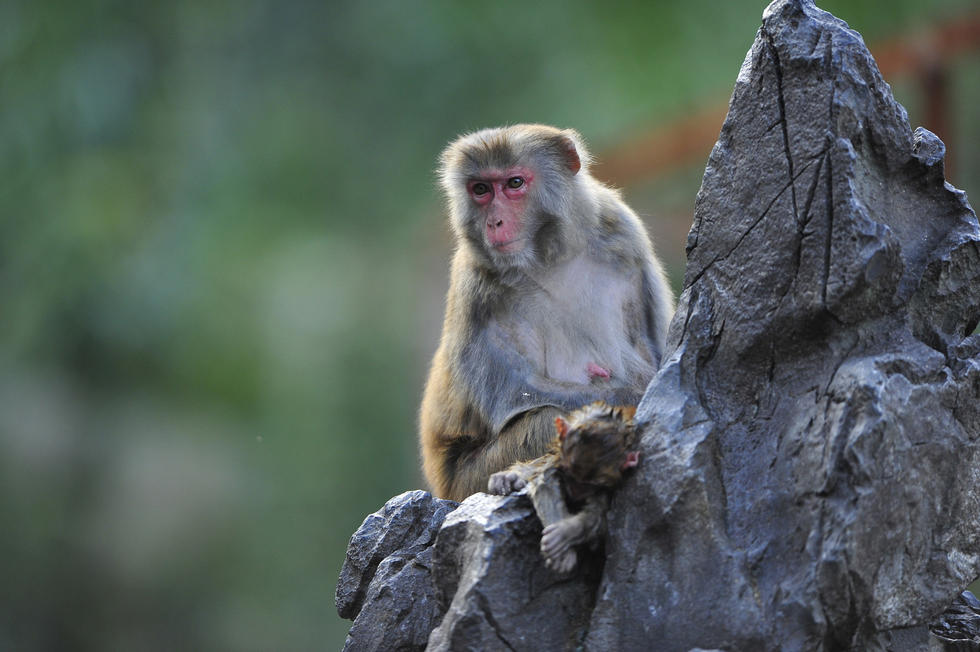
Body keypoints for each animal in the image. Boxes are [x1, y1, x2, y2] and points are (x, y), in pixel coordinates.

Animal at [486, 400, 640, 572]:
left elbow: (598, 515)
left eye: (590, 485)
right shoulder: (559, 457)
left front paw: (564, 534)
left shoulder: (608, 487)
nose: (574, 491)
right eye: (569, 473)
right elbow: (544, 483)